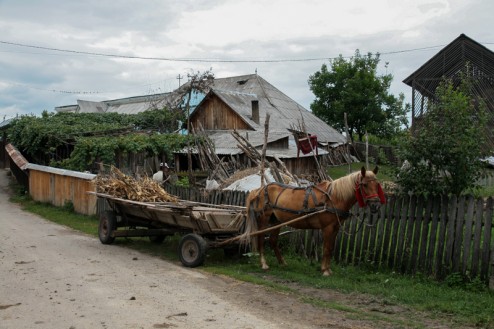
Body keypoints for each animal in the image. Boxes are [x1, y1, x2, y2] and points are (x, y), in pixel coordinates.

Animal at [243, 165, 386, 276]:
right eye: (365, 185)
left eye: (377, 184)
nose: (375, 205)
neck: (333, 197)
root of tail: (260, 190)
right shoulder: (327, 228)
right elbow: (326, 248)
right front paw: (325, 270)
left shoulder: (335, 228)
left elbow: (331, 248)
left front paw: (327, 269)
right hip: (264, 219)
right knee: (261, 238)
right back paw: (264, 263)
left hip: (276, 221)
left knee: (273, 240)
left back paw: (282, 262)